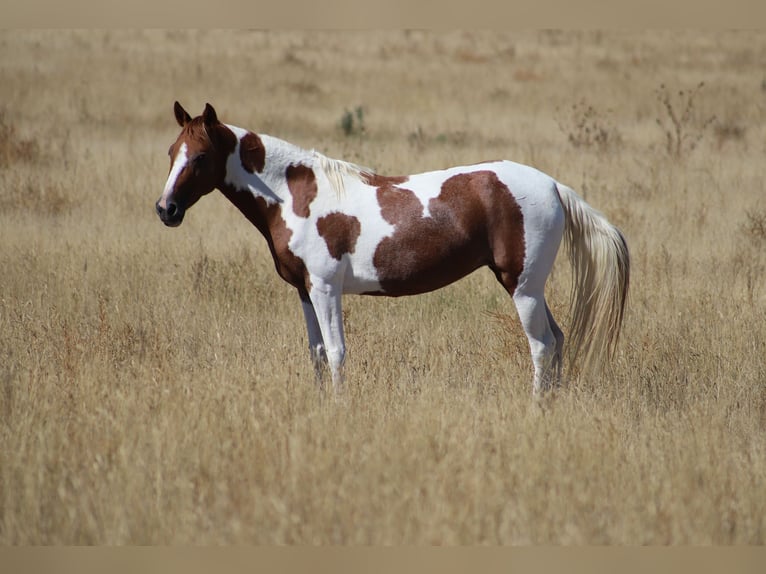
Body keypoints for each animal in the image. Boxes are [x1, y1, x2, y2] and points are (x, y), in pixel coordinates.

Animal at [154, 102, 632, 396]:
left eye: (200, 157)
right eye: (172, 151)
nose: (166, 209)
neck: (296, 195)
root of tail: (553, 185)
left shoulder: (325, 288)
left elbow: (336, 353)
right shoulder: (304, 291)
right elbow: (316, 354)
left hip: (523, 287)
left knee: (541, 347)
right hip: (528, 287)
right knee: (558, 339)